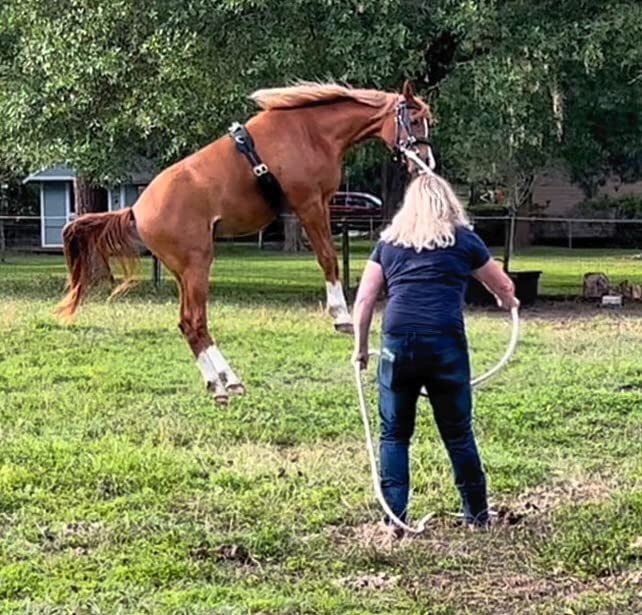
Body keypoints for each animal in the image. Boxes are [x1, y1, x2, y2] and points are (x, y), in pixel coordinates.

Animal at [56, 80, 433, 404]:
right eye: (414, 120)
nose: (426, 163)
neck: (310, 131)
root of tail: (137, 209)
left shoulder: (318, 205)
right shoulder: (310, 204)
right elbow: (328, 257)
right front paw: (341, 316)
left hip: (183, 273)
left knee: (188, 324)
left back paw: (222, 381)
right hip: (197, 265)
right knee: (195, 321)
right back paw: (224, 383)